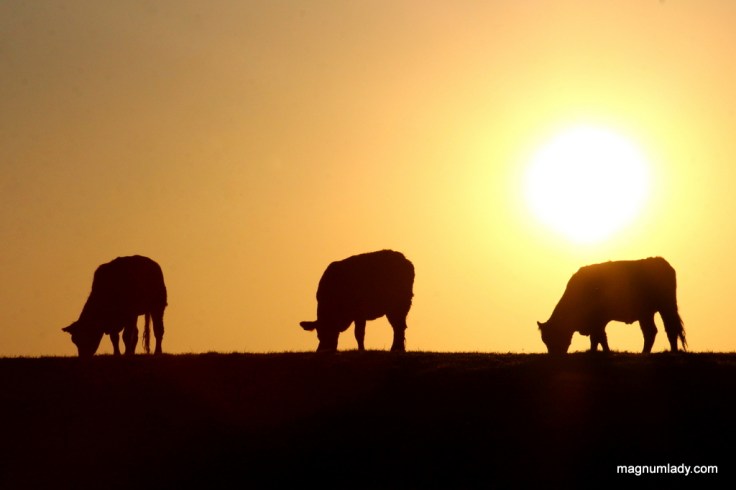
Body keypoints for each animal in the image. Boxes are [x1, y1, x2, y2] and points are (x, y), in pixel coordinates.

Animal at [537, 257, 686, 355]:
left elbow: (599, 337)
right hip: (646, 314)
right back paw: (647, 352)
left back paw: (670, 352)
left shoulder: (598, 321)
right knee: (652, 331)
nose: (554, 355)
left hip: (666, 307)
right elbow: (597, 338)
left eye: (553, 336)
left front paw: (604, 352)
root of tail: (660, 261)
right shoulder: (596, 323)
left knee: (669, 329)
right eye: (544, 340)